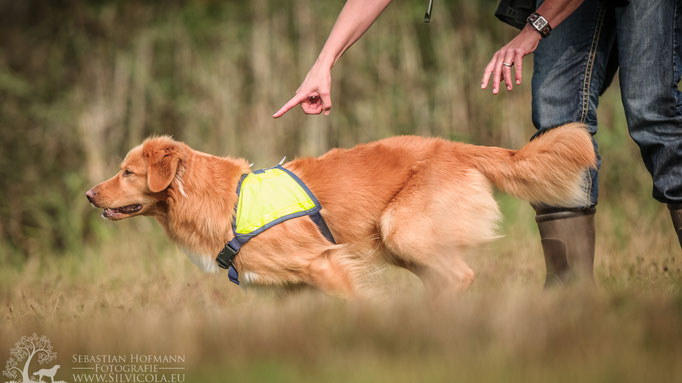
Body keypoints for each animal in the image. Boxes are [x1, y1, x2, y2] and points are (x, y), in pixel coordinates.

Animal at [86, 123, 596, 296]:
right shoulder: (289, 291)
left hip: (402, 231)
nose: (89, 194)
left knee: (461, 276)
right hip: (401, 247)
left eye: (127, 172)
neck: (220, 200)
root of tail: (453, 146)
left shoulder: (324, 263)